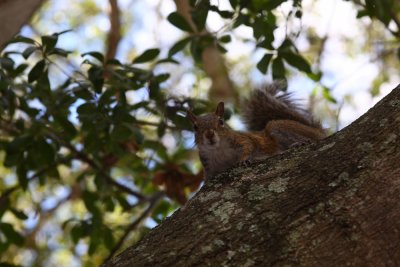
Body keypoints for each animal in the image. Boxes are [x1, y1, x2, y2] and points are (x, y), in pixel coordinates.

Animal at [188, 82, 324, 181]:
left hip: (278, 128)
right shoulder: (209, 165)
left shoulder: (241, 139)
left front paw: (244, 160)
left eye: (221, 121)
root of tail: (316, 130)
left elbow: (249, 145)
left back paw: (299, 143)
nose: (209, 134)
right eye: (195, 127)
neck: (218, 150)